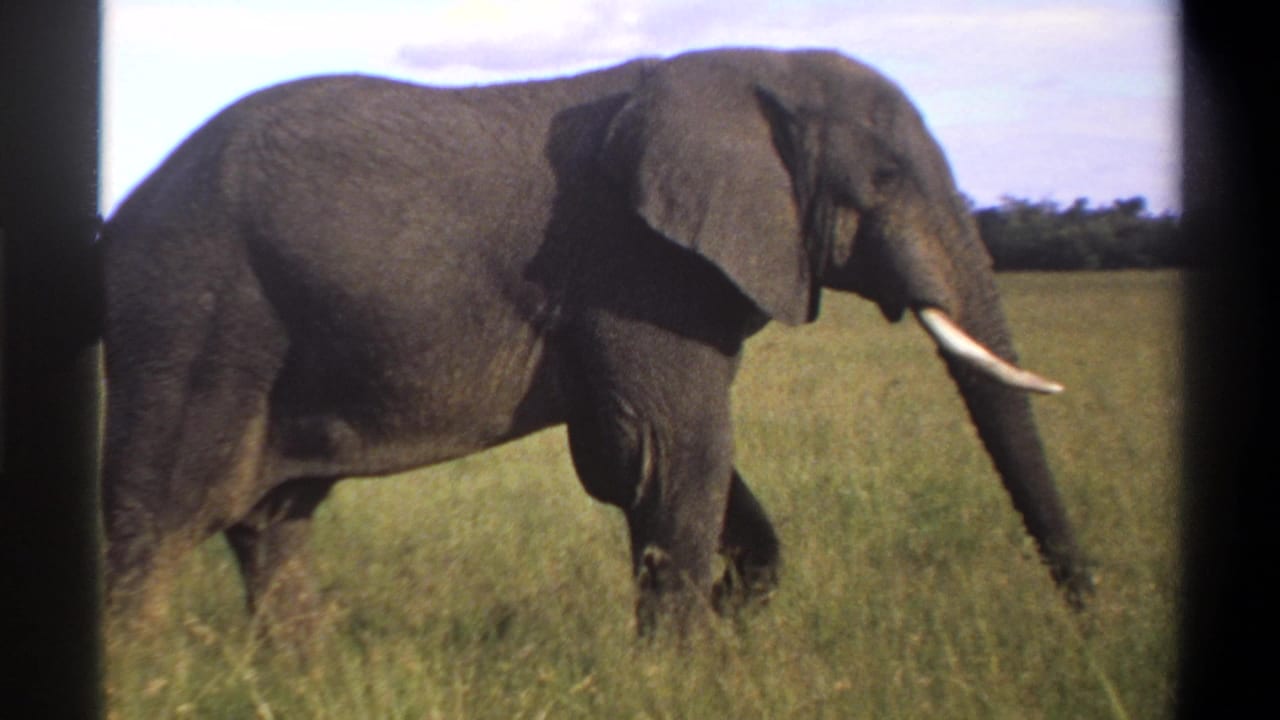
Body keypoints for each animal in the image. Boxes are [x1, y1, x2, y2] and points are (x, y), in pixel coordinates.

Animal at [100, 47, 1092, 636]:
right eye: (883, 178)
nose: (1089, 624)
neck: (751, 68)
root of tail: (124, 213)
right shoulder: (638, 268)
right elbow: (669, 454)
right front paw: (679, 673)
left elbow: (660, 462)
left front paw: (731, 622)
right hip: (192, 314)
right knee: (157, 526)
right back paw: (151, 680)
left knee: (272, 523)